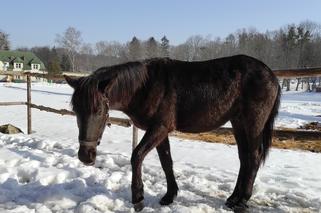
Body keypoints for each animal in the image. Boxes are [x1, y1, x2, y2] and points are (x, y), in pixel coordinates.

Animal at [65, 54, 280, 211]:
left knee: (253, 157)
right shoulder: (160, 132)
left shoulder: (159, 128)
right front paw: (169, 196)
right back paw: (234, 198)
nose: (85, 156)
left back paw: (242, 200)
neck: (145, 86)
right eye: (76, 110)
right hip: (238, 122)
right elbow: (166, 162)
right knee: (244, 158)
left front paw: (138, 197)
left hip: (252, 123)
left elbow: (137, 156)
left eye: (99, 111)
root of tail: (271, 75)